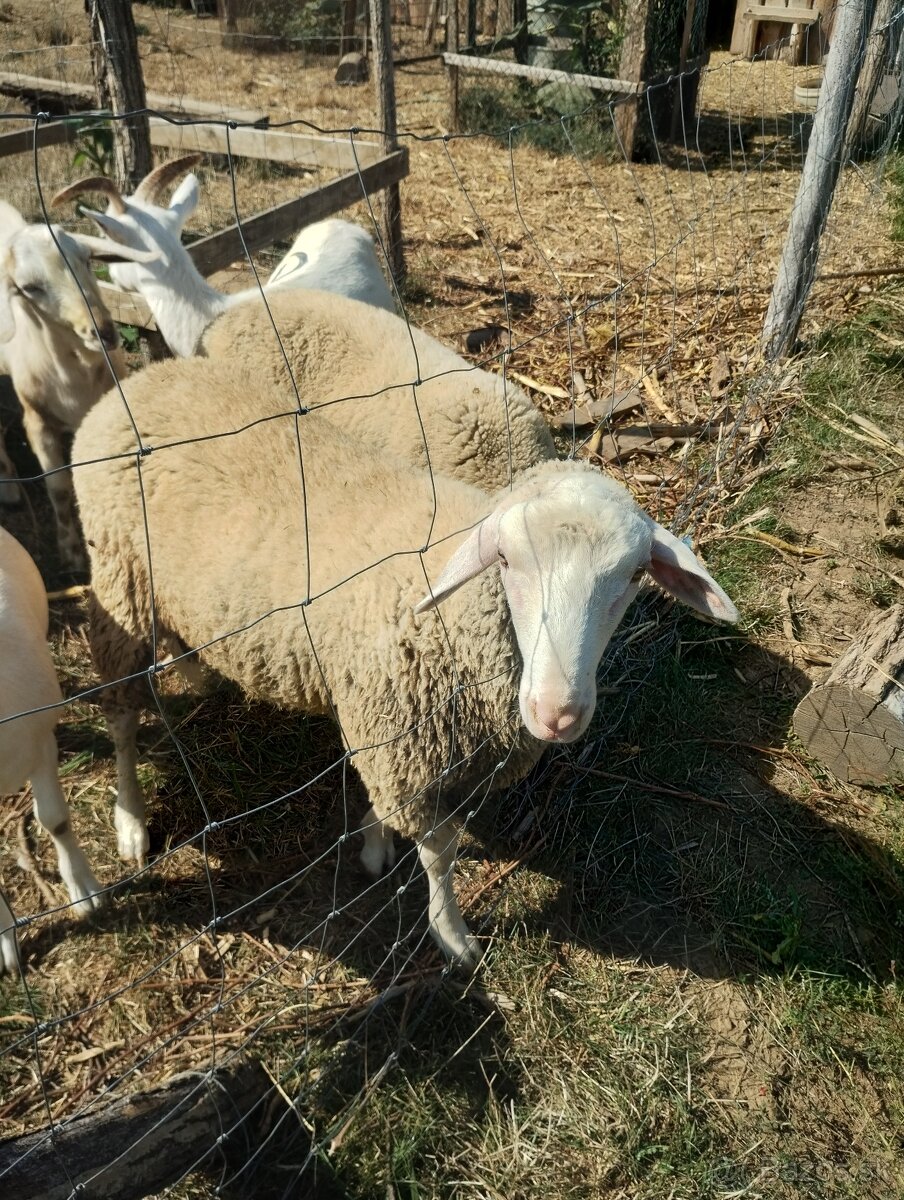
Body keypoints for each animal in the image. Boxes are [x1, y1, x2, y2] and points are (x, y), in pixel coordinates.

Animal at [0, 196, 158, 571]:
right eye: (29, 288)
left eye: (86, 259)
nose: (104, 332)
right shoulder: (37, 421)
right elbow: (58, 487)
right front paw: (71, 551)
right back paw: (10, 487)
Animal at [74, 350, 734, 969]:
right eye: (506, 559)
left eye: (633, 577)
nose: (558, 713)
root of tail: (140, 381)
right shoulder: (402, 745)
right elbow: (439, 854)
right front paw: (451, 935)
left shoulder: (400, 737)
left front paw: (373, 838)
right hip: (118, 582)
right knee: (122, 716)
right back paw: (129, 822)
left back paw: (198, 673)